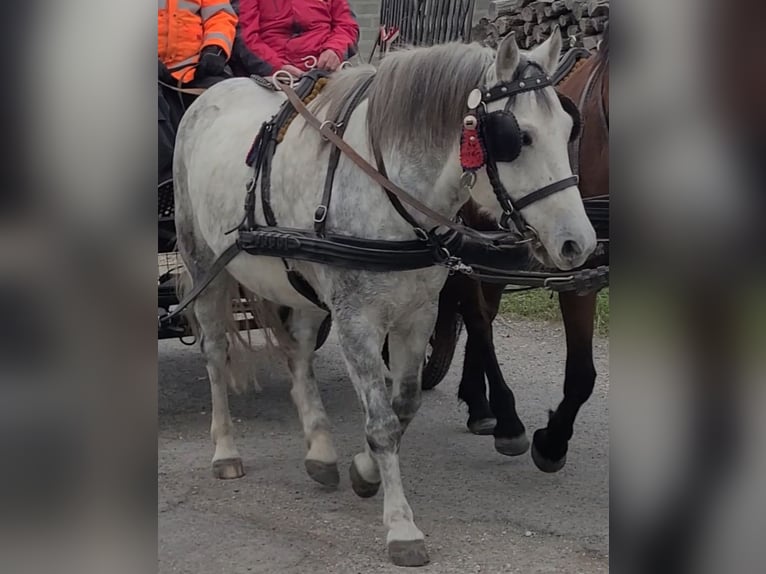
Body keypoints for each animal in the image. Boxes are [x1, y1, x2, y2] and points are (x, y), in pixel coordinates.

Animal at [427, 27, 609, 472]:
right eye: (516, 137)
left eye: (570, 128)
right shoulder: (576, 273)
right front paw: (548, 441)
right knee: (477, 316)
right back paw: (502, 417)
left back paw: (479, 405)